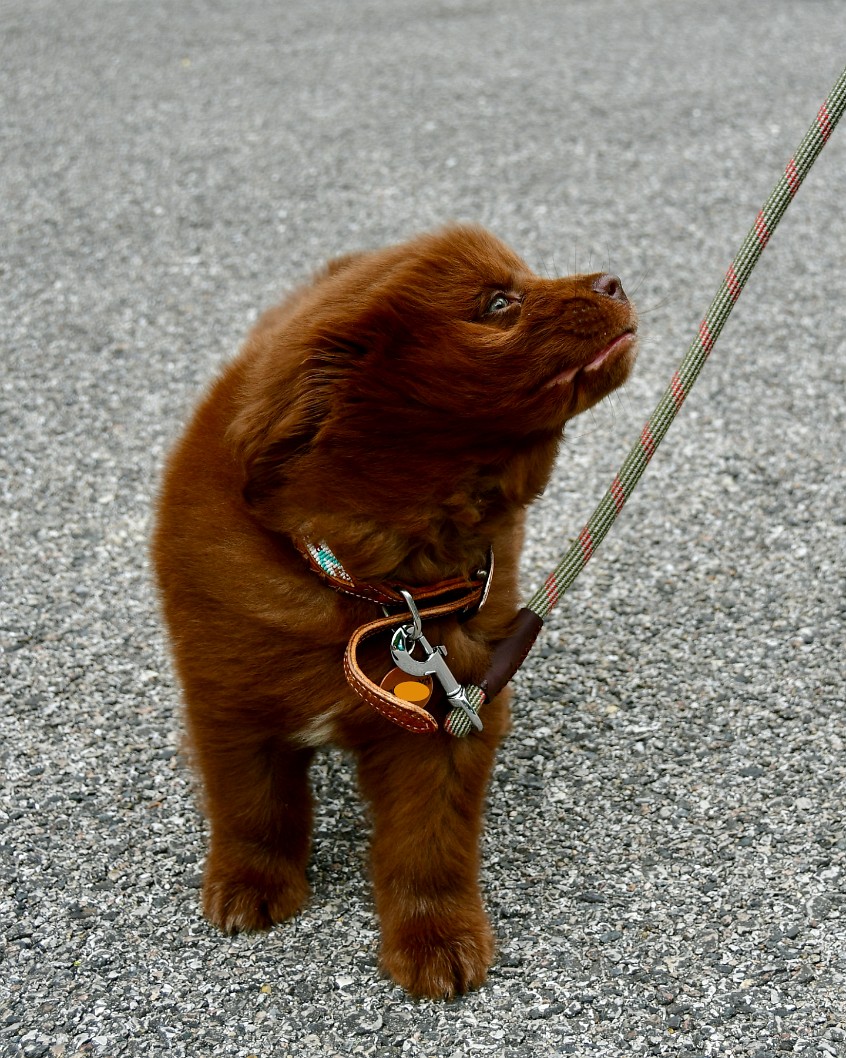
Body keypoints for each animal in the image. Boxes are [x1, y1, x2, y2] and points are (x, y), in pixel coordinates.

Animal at [152, 225, 638, 998]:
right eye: (498, 302)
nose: (614, 282)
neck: (367, 586)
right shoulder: (227, 696)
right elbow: (251, 805)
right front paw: (252, 885)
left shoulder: (451, 710)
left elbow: (426, 842)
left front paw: (435, 941)